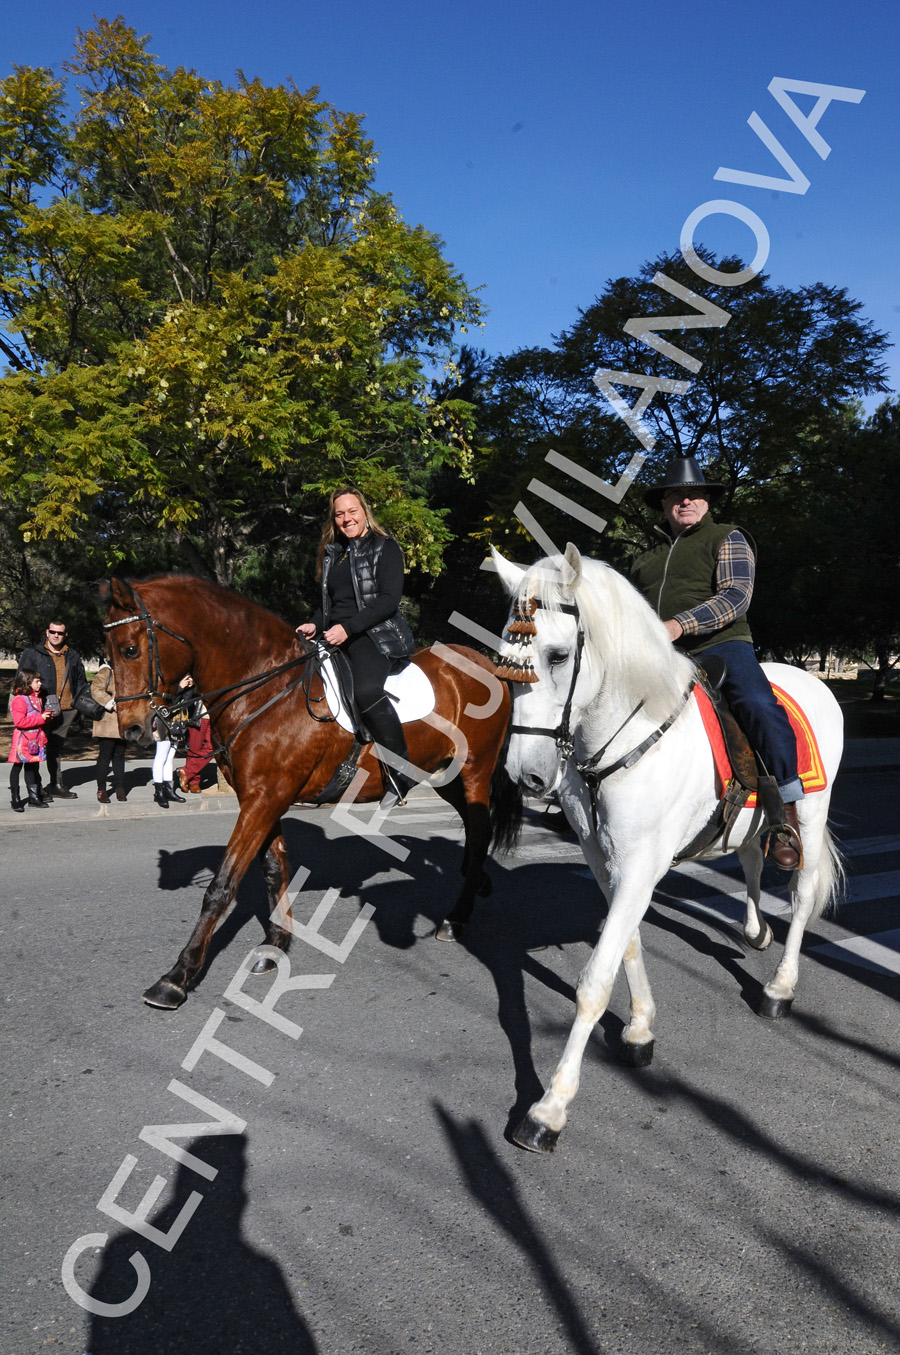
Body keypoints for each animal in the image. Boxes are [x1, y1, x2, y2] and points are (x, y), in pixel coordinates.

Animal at [101, 571, 517, 1008]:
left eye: (130, 649)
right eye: (107, 652)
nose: (133, 729)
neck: (265, 688)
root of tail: (485, 664)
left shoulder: (265, 798)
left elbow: (222, 885)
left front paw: (176, 977)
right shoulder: (261, 798)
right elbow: (272, 869)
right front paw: (276, 943)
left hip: (474, 771)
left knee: (480, 830)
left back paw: (456, 918)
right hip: (445, 777)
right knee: (474, 828)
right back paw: (476, 886)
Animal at [493, 539, 845, 1154]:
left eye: (558, 656)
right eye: (504, 659)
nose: (526, 776)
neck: (630, 733)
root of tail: (818, 682)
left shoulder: (640, 865)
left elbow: (595, 980)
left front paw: (549, 1108)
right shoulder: (607, 862)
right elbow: (628, 946)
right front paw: (639, 1029)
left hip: (812, 810)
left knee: (801, 896)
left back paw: (779, 987)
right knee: (750, 858)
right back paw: (755, 931)